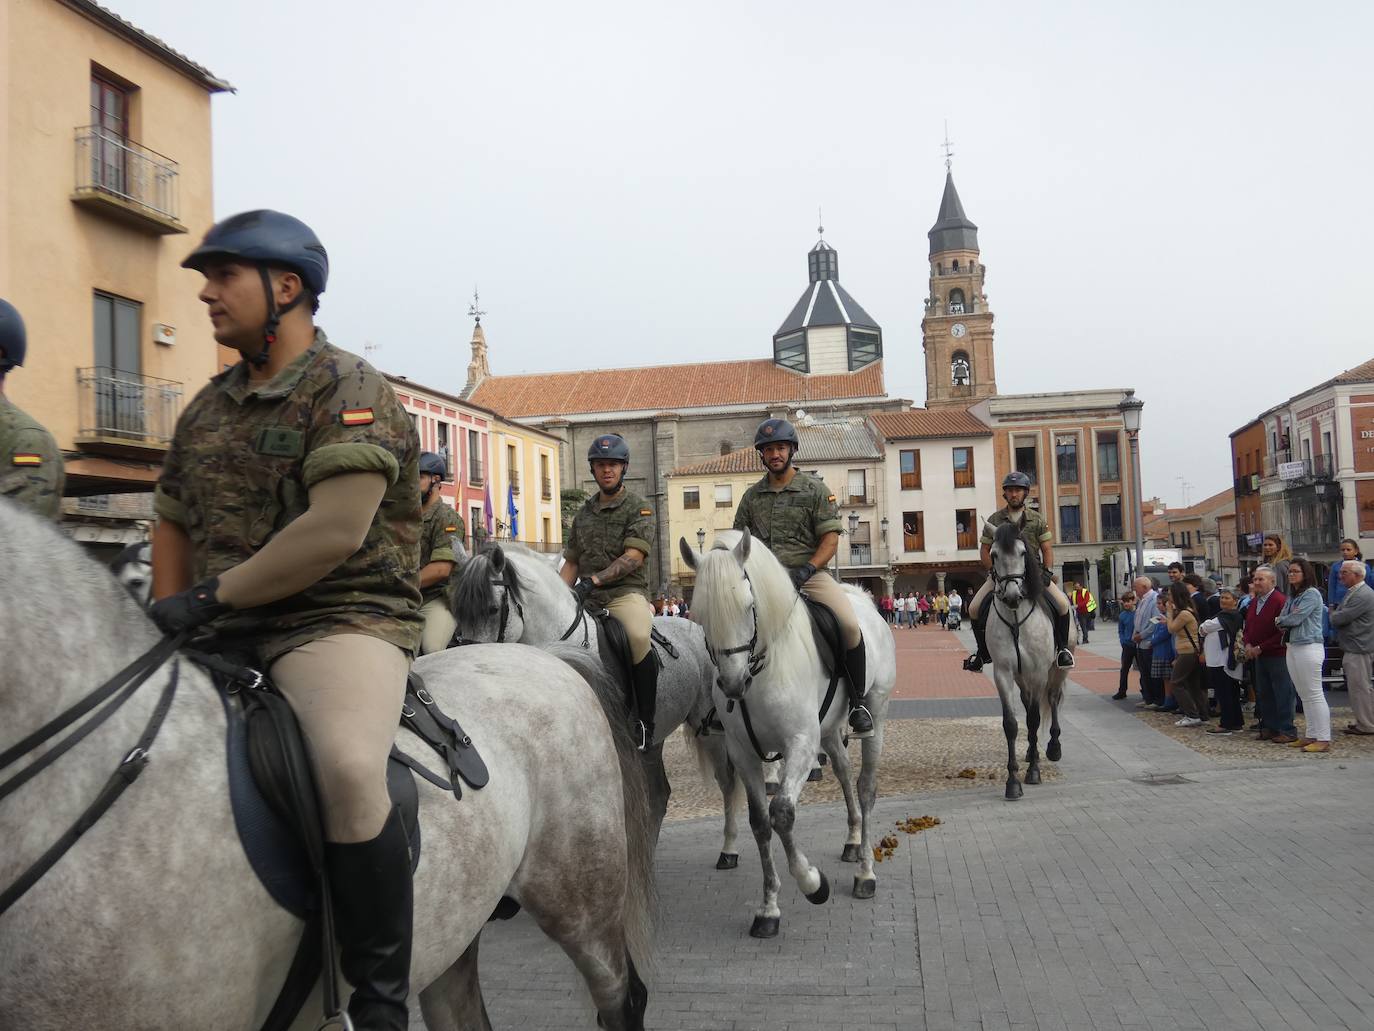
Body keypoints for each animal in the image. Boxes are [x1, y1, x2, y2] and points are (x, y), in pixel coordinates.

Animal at [450, 544, 747, 868]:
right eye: (456, 610)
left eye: (492, 609)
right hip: (654, 739)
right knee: (659, 794)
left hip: (709, 729)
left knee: (728, 783)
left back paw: (729, 849)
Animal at [681, 527, 895, 940]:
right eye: (699, 614)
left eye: (749, 605)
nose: (733, 684)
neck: (762, 669)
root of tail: (864, 600)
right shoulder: (744, 753)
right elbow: (761, 823)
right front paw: (768, 910)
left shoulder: (800, 745)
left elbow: (782, 814)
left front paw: (813, 883)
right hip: (828, 731)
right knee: (844, 773)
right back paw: (851, 842)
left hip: (876, 713)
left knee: (865, 787)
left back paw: (865, 872)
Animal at [983, 519, 1066, 802]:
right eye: (994, 554)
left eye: (1022, 552)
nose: (1011, 595)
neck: (1017, 618)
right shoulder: (1004, 673)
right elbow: (1011, 724)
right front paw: (1013, 782)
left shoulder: (1039, 672)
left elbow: (1033, 719)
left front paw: (1033, 772)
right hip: (1021, 677)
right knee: (1028, 701)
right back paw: (1032, 752)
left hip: (1056, 670)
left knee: (1052, 699)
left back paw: (1053, 747)